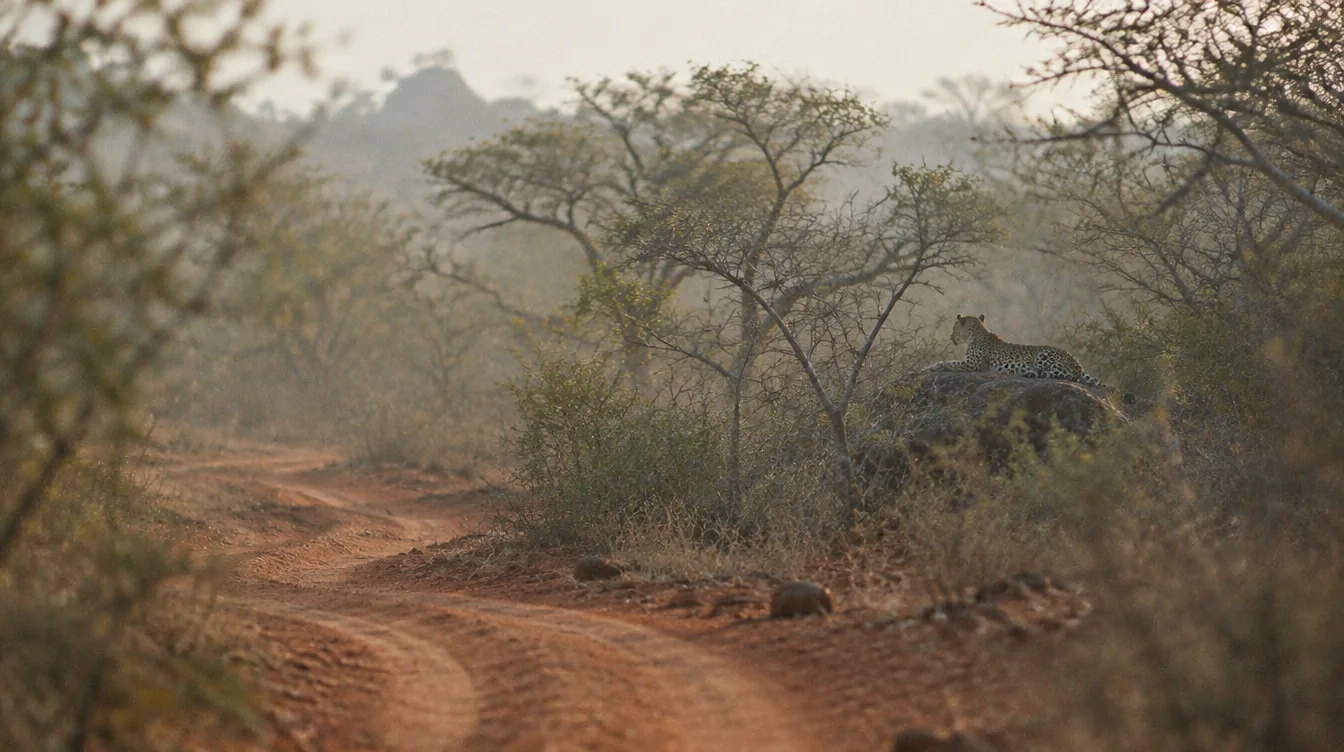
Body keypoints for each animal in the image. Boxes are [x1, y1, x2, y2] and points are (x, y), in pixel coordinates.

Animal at [926, 314, 1135, 404]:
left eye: (953, 328)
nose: (950, 337)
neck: (976, 332)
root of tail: (1079, 365)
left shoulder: (972, 364)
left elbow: (948, 362)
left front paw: (927, 368)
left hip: (1044, 356)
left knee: (1064, 377)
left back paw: (1032, 373)